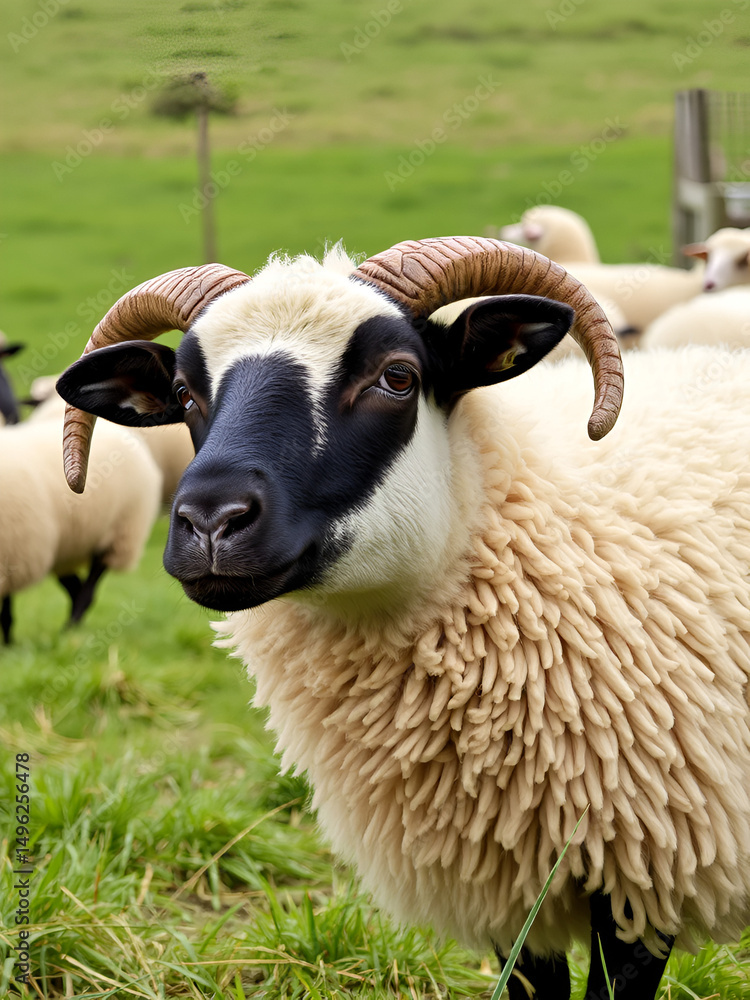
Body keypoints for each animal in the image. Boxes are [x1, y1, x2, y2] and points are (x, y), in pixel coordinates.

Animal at [0, 416, 161, 643]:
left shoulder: (13, 553)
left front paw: (8, 642)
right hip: (65, 550)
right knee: (76, 589)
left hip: (119, 533)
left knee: (88, 590)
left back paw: (69, 630)